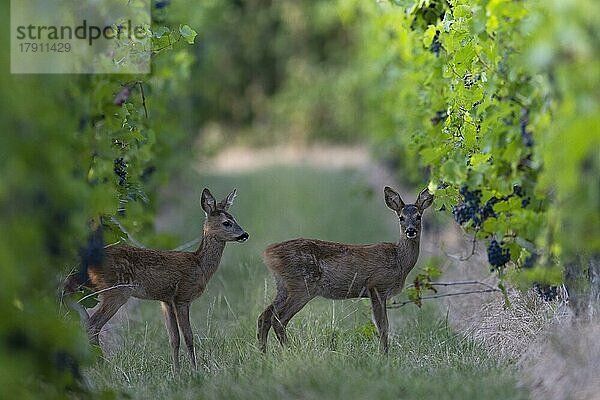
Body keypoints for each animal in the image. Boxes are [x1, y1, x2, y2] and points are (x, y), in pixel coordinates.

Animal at [81, 189, 246, 370]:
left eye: (234, 219)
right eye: (226, 223)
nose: (245, 234)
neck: (199, 265)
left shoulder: (166, 300)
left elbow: (174, 339)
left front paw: (177, 371)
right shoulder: (182, 296)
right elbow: (188, 337)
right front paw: (195, 370)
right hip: (116, 291)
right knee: (93, 325)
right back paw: (101, 366)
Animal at [256, 186, 432, 352]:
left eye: (419, 216)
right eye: (401, 217)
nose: (410, 230)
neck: (399, 261)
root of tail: (268, 253)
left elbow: (384, 327)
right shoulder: (377, 287)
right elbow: (383, 327)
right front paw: (384, 355)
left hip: (284, 286)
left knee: (265, 316)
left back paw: (264, 353)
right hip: (302, 286)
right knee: (278, 319)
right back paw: (290, 350)